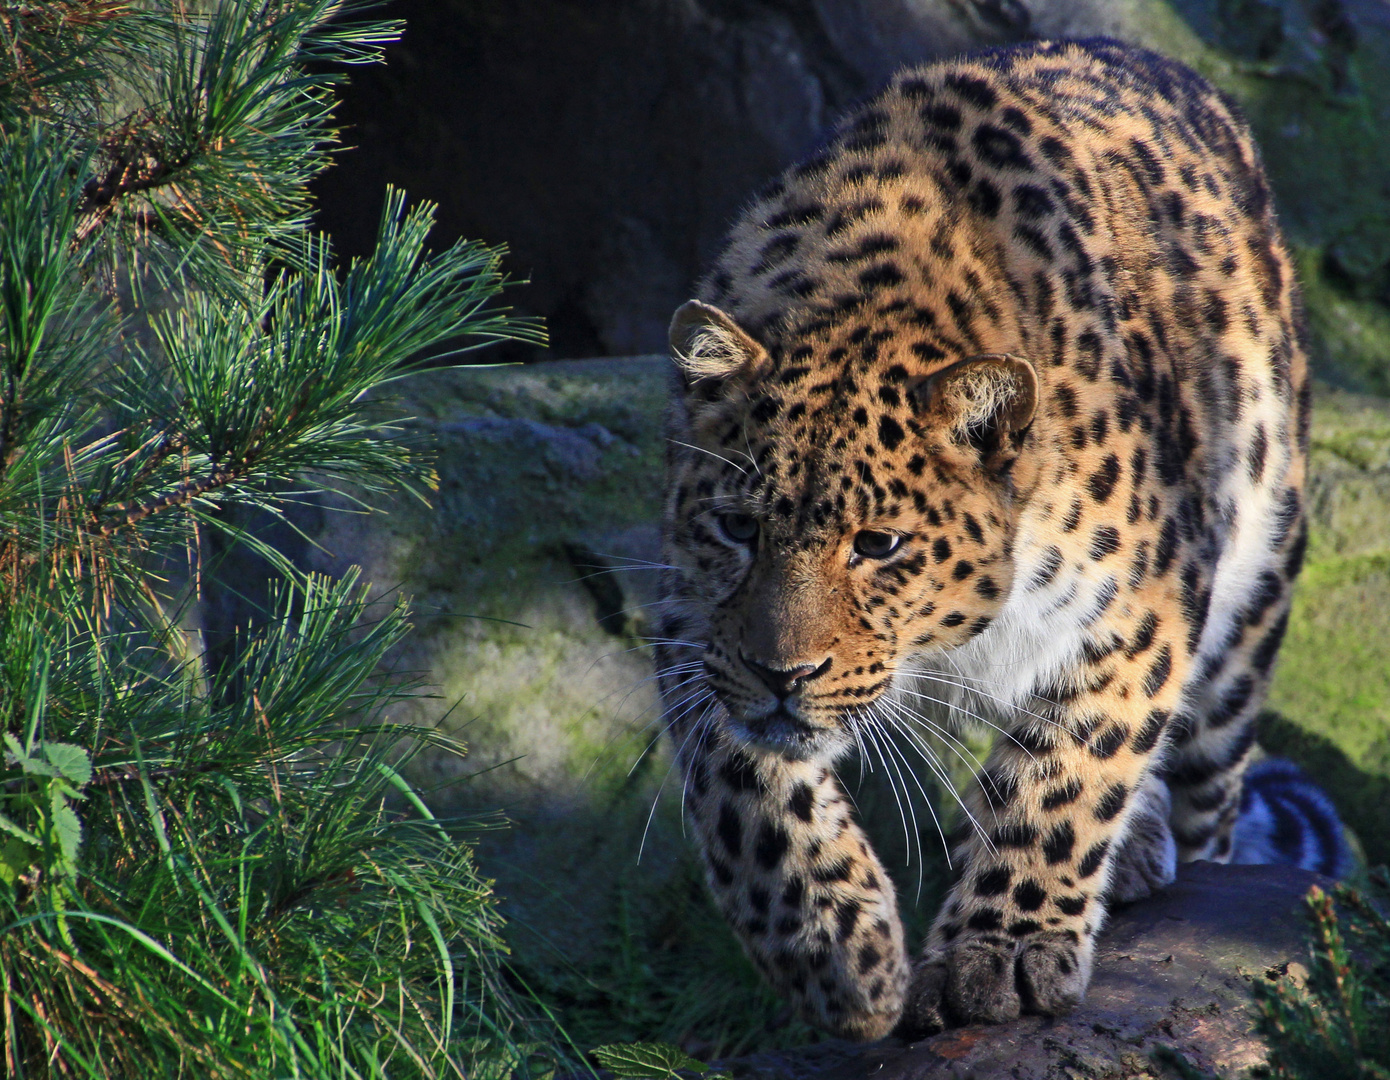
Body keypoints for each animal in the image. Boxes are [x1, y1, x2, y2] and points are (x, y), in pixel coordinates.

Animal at [656, 37, 1351, 1039]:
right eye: (738, 528)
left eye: (878, 546)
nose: (783, 675)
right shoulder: (695, 618)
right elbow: (743, 790)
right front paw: (840, 956)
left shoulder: (1144, 605)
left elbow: (1065, 777)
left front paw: (1003, 954)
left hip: (1246, 625)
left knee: (1209, 801)